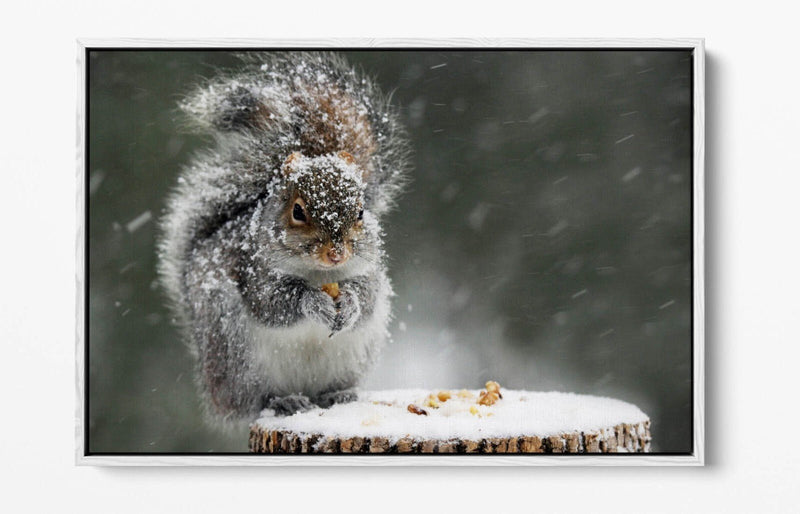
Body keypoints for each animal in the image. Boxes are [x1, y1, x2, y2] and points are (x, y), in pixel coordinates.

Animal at [157, 53, 410, 423]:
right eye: (298, 211)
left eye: (362, 211)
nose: (336, 254)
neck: (320, 274)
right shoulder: (253, 271)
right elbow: (273, 303)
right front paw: (313, 302)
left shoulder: (369, 272)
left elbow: (367, 297)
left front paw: (349, 302)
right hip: (236, 358)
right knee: (253, 401)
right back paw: (282, 401)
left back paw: (338, 395)